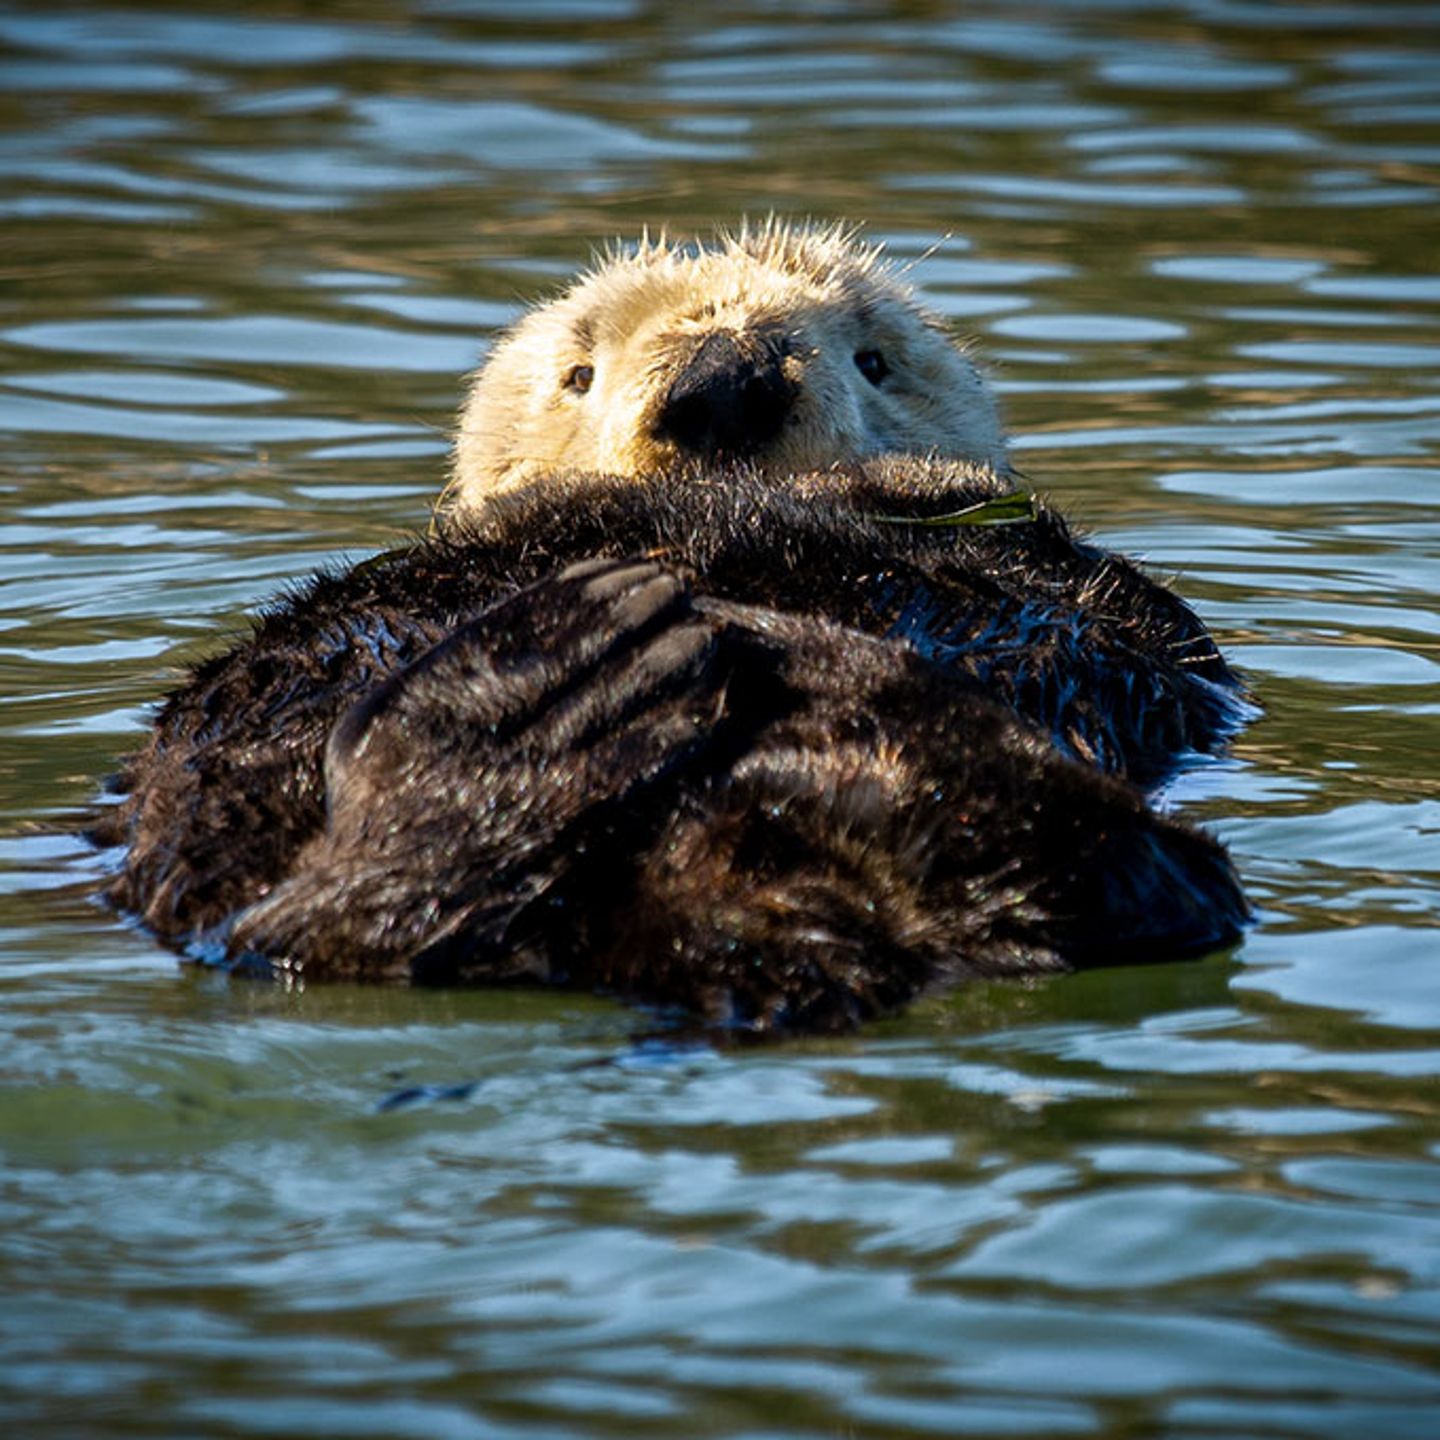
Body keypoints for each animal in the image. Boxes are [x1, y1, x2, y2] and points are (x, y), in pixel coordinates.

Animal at [93, 226, 1252, 1034]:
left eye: (874, 360)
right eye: (577, 372)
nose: (723, 380)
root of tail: (738, 913)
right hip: (220, 822)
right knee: (304, 932)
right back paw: (545, 689)